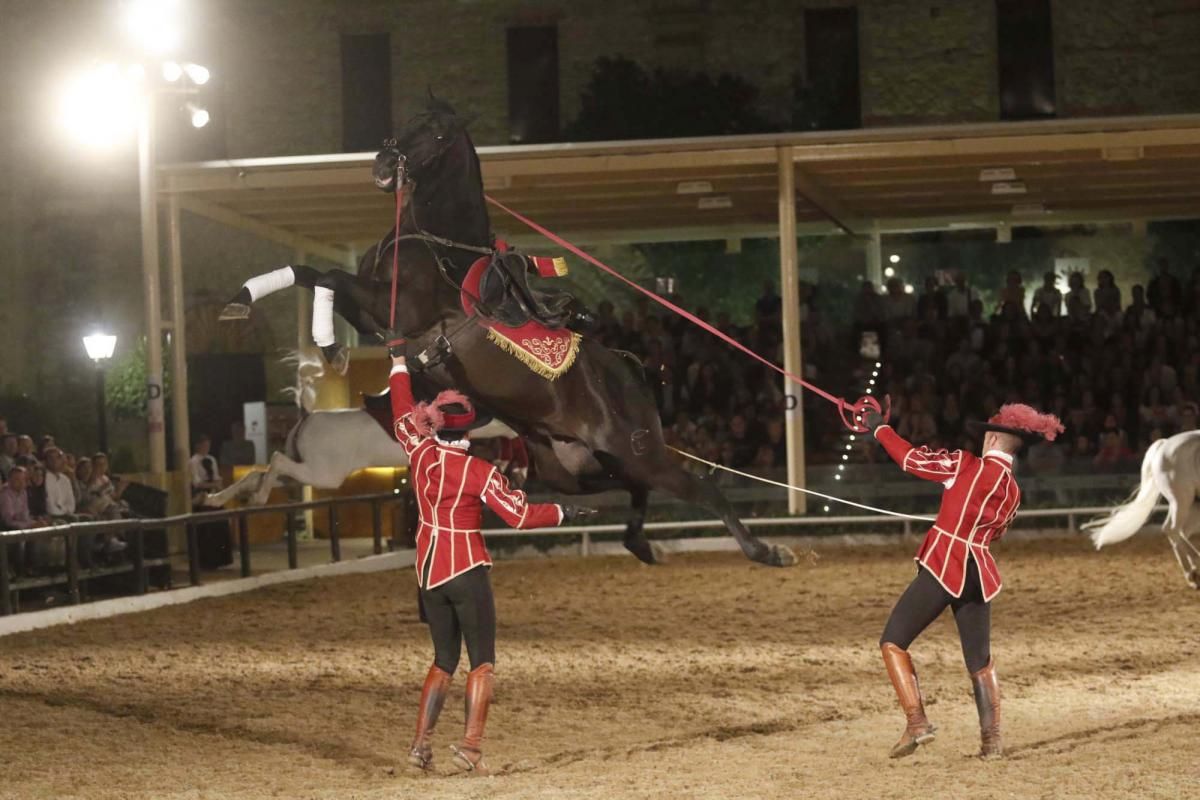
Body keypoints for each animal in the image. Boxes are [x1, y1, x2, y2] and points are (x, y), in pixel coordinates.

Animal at [202, 355, 520, 506]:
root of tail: (307, 417)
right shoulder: (483, 423)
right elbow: (507, 428)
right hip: (324, 473)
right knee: (277, 460)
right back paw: (257, 498)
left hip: (303, 470)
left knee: (259, 473)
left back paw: (218, 498)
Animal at [1084, 431, 1200, 587]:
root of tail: (1164, 443)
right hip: (1181, 499)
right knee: (1172, 529)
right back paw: (1193, 570)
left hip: (1191, 503)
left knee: (1179, 531)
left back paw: (1193, 573)